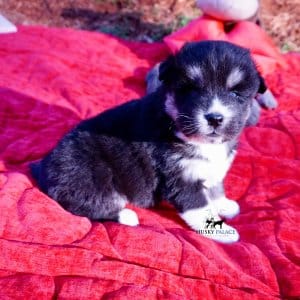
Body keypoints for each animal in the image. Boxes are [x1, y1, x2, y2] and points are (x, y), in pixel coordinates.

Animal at [30, 39, 264, 243]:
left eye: (235, 93)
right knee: (82, 205)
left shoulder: (208, 170)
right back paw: (127, 216)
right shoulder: (182, 178)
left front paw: (224, 205)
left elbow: (216, 187)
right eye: (191, 89)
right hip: (93, 176)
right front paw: (223, 231)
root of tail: (42, 167)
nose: (214, 118)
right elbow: (201, 209)